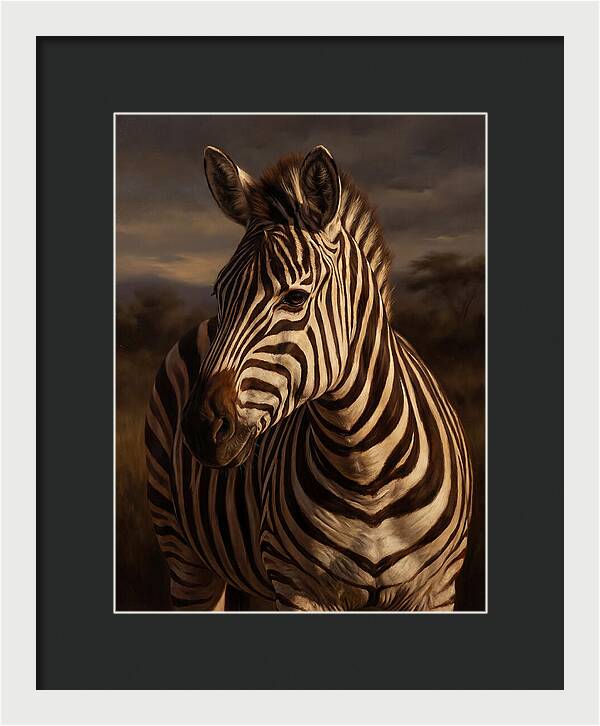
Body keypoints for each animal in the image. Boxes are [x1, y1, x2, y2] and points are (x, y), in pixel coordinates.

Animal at [144, 144, 473, 611]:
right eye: (218, 293)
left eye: (296, 297)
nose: (201, 427)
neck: (366, 472)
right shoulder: (300, 587)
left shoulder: (436, 590)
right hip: (184, 552)